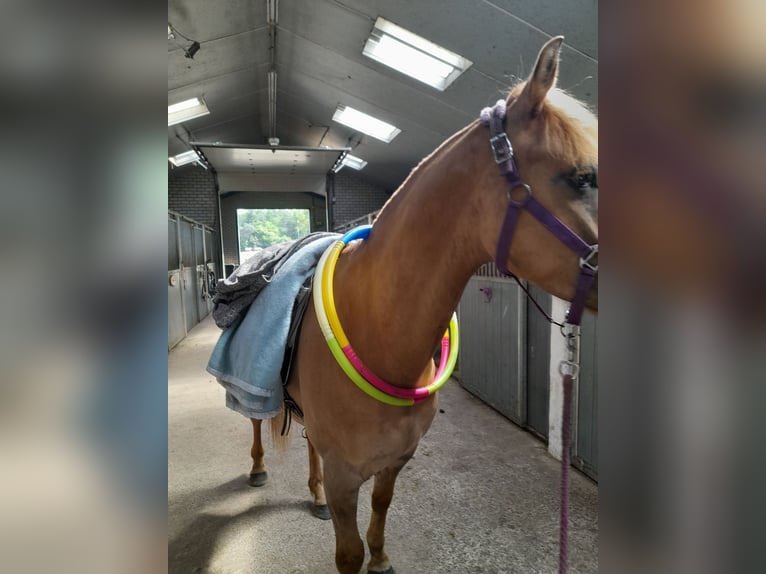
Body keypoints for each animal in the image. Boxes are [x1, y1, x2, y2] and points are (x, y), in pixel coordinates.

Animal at [243, 37, 596, 574]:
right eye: (579, 178)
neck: (378, 327)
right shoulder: (346, 476)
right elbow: (348, 553)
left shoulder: (394, 462)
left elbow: (382, 506)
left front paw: (382, 557)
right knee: (256, 425)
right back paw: (259, 469)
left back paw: (314, 495)